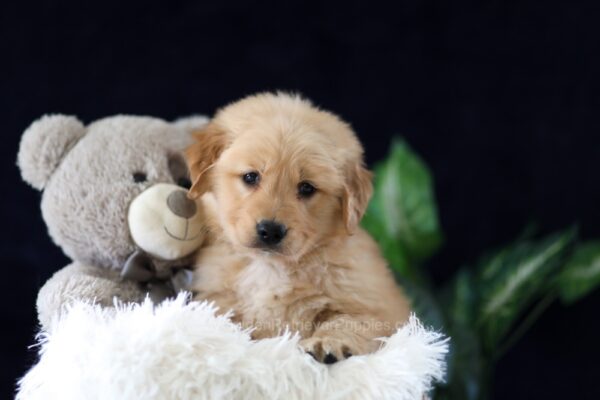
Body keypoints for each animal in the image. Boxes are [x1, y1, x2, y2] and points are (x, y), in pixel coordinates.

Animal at [186, 92, 412, 364]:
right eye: (251, 177)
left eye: (306, 188)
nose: (270, 230)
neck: (270, 268)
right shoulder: (218, 300)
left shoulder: (377, 308)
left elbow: (349, 322)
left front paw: (328, 343)